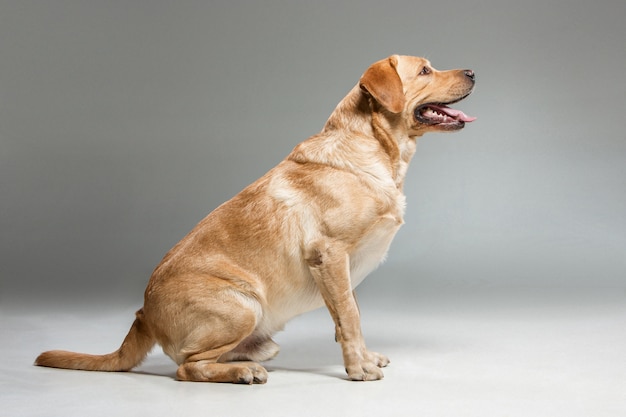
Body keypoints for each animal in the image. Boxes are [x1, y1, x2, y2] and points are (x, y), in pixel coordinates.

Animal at [35, 55, 472, 384]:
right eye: (425, 71)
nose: (472, 72)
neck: (375, 150)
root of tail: (143, 315)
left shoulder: (344, 271)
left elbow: (351, 313)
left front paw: (363, 356)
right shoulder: (329, 254)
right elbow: (349, 317)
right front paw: (358, 367)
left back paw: (243, 364)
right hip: (243, 307)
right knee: (187, 367)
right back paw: (243, 373)